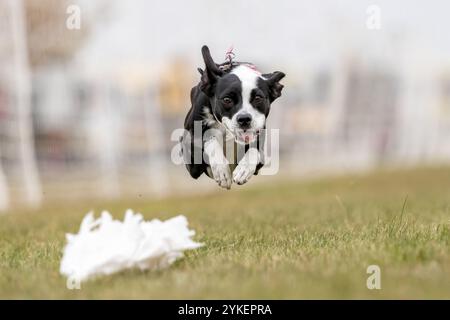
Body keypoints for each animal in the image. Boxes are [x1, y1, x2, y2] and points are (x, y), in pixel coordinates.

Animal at [180, 46, 284, 189]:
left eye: (258, 98)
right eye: (227, 99)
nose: (244, 119)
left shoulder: (260, 153)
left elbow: (254, 150)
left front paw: (244, 169)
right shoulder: (190, 158)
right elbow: (210, 139)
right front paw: (221, 170)